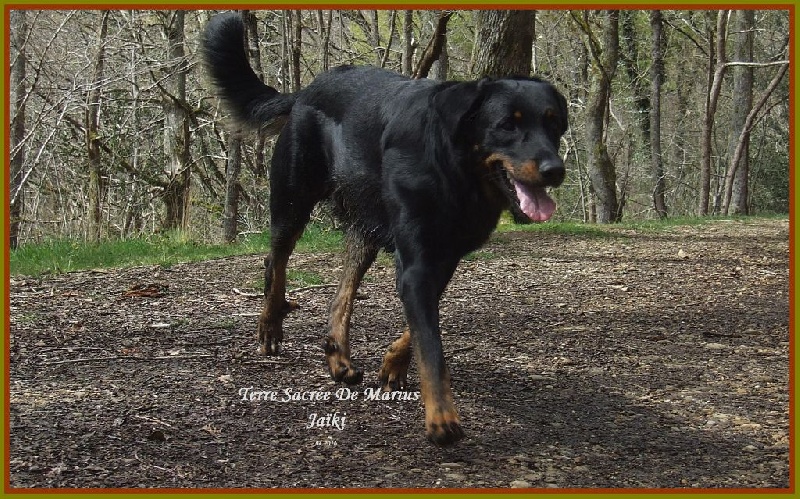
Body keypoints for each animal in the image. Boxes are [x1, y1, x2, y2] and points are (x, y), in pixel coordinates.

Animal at [205, 13, 568, 448]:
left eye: (554, 124)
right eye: (506, 126)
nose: (555, 170)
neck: (456, 172)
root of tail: (305, 91)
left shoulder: (442, 259)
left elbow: (419, 329)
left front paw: (394, 363)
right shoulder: (417, 264)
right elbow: (431, 344)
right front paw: (441, 417)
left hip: (366, 230)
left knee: (341, 294)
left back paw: (338, 357)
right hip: (292, 202)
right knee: (275, 262)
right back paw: (271, 325)